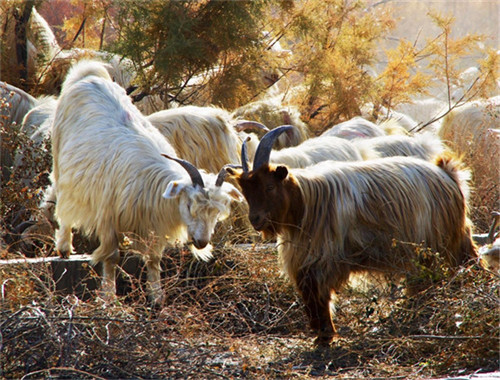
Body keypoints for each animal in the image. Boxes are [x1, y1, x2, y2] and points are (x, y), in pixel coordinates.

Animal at [51, 60, 243, 302]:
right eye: (189, 204)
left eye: (217, 211)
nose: (201, 242)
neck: (152, 182)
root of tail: (89, 75)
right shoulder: (108, 216)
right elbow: (111, 257)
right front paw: (108, 298)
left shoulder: (153, 225)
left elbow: (154, 259)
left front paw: (157, 296)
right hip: (59, 161)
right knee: (62, 204)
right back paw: (64, 247)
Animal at [227, 125, 476, 344]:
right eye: (246, 191)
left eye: (269, 187)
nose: (255, 220)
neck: (309, 201)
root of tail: (446, 174)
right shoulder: (304, 258)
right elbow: (309, 293)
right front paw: (320, 334)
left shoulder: (323, 259)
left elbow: (319, 293)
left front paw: (326, 335)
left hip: (447, 238)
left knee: (465, 262)